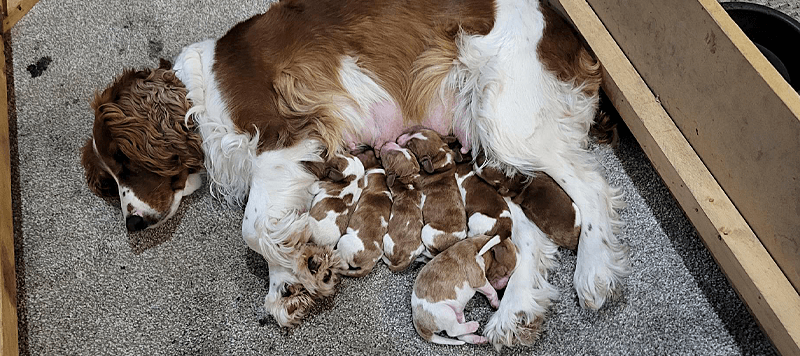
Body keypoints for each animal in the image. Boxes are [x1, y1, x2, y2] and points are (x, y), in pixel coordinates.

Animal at [380, 143, 424, 272]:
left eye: (388, 157)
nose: (386, 143)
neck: (408, 177)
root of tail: (405, 258)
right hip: (420, 247)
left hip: (386, 239)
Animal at [396, 128, 466, 256]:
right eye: (413, 131)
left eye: (409, 146)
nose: (397, 139)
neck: (440, 157)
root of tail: (458, 240)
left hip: (427, 230)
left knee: (431, 252)